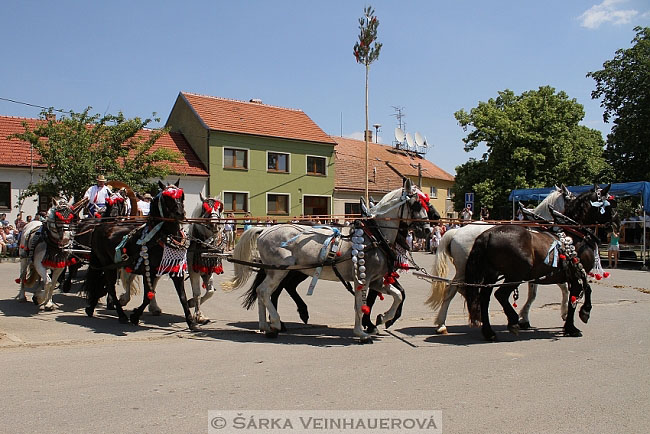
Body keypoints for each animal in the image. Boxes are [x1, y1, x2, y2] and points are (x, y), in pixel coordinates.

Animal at [85, 181, 199, 330]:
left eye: (181, 195)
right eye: (167, 197)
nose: (180, 213)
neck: (161, 237)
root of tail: (101, 225)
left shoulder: (175, 271)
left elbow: (182, 297)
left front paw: (191, 322)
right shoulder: (148, 271)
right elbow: (148, 296)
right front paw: (135, 316)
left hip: (111, 266)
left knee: (104, 285)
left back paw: (91, 307)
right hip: (107, 265)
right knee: (110, 288)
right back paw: (121, 315)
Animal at [221, 178, 430, 340]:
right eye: (416, 204)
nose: (427, 230)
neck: (374, 234)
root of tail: (264, 230)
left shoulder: (376, 280)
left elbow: (397, 295)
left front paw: (383, 318)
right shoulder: (362, 279)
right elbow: (360, 304)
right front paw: (361, 332)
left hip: (280, 272)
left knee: (262, 292)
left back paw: (266, 325)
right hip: (278, 271)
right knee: (264, 291)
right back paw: (276, 323)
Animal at [426, 185, 572, 334]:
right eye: (572, 198)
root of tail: (456, 232)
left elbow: (536, 293)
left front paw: (525, 318)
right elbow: (561, 288)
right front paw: (564, 313)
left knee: (462, 289)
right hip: (464, 270)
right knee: (452, 289)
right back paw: (442, 323)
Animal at [464, 185, 616, 340]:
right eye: (610, 205)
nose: (614, 224)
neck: (573, 235)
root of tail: (487, 234)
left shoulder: (566, 275)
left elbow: (578, 291)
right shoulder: (576, 274)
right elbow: (576, 296)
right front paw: (574, 323)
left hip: (492, 274)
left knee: (484, 298)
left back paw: (489, 332)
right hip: (516, 275)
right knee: (500, 295)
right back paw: (512, 320)